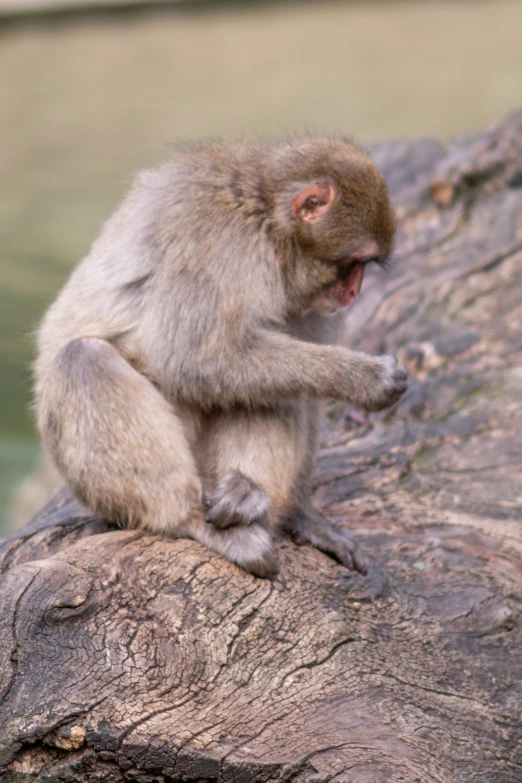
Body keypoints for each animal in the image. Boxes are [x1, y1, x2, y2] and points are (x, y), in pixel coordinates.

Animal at [35, 138, 406, 580]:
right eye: (354, 262)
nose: (353, 293)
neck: (269, 224)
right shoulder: (220, 243)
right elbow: (194, 361)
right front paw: (363, 378)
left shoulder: (308, 302)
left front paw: (303, 514)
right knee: (82, 360)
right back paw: (191, 518)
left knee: (273, 391)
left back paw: (249, 496)